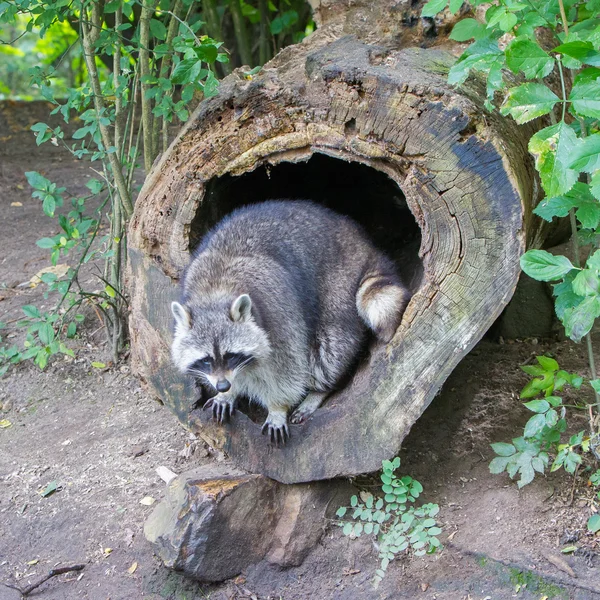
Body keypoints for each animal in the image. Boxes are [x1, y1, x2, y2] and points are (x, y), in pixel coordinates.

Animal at [171, 199, 410, 442]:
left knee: (330, 349)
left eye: (231, 356)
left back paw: (319, 389)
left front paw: (278, 408)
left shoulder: (280, 311)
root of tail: (363, 245)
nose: (222, 385)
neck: (216, 290)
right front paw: (228, 393)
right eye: (206, 360)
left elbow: (288, 368)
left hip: (338, 289)